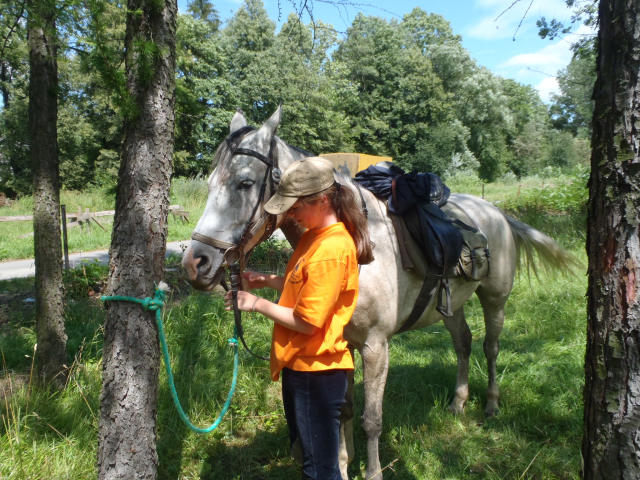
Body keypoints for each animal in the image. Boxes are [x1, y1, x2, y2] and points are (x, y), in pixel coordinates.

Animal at [182, 107, 576, 480]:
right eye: (210, 183)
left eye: (245, 183)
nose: (196, 263)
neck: (359, 247)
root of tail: (496, 212)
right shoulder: (343, 345)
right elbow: (344, 411)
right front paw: (343, 465)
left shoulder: (375, 346)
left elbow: (372, 419)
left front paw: (371, 472)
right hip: (451, 305)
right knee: (463, 343)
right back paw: (458, 403)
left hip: (495, 299)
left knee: (491, 347)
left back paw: (491, 405)